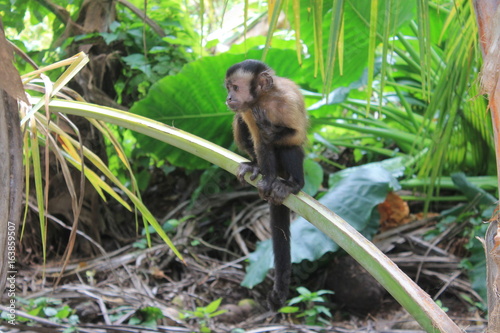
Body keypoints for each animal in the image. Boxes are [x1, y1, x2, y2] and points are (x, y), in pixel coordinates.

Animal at [224, 59, 308, 308]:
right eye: (228, 88)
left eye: (235, 87)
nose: (229, 98)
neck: (265, 98)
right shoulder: (248, 108)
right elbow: (261, 142)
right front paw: (267, 178)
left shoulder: (287, 103)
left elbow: (295, 134)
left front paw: (272, 131)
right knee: (240, 122)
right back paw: (257, 167)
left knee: (289, 146)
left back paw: (293, 184)